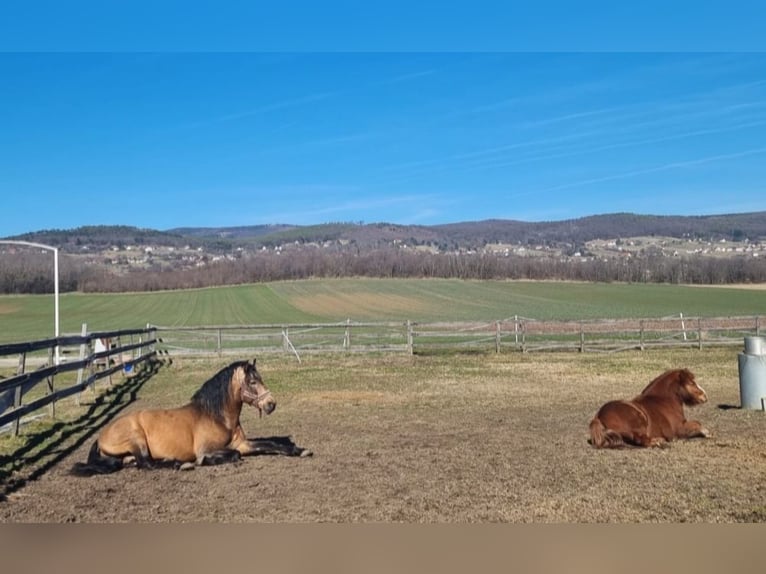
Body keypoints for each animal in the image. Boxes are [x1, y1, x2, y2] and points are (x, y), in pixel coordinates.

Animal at [71, 360, 312, 476]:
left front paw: (300, 450)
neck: (217, 417)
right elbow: (232, 455)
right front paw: (202, 462)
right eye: (253, 382)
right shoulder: (209, 449)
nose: (271, 404)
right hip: (136, 438)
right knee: (146, 464)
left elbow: (270, 444)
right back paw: (181, 465)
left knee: (135, 463)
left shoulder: (242, 444)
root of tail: (101, 435)